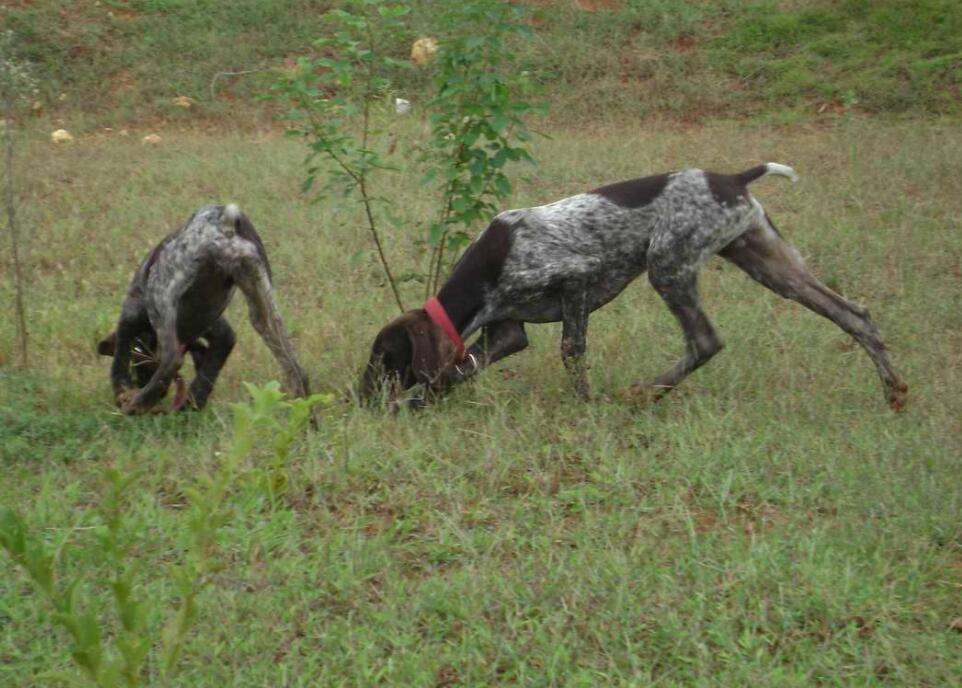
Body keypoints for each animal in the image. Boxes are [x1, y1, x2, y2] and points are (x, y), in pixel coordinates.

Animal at [98, 204, 310, 414]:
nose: (141, 383)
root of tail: (224, 221)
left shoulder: (130, 316)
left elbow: (119, 360)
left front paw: (123, 393)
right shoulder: (221, 333)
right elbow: (208, 369)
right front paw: (195, 400)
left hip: (162, 297)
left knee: (171, 360)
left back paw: (138, 402)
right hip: (264, 314)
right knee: (298, 373)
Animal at [359, 163, 908, 410]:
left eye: (384, 356)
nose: (358, 396)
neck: (487, 272)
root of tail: (733, 176)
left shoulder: (576, 279)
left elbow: (571, 351)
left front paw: (584, 407)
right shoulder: (508, 331)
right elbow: (462, 368)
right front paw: (417, 405)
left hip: (667, 265)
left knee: (705, 341)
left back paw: (648, 391)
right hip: (772, 266)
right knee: (854, 315)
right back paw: (894, 389)